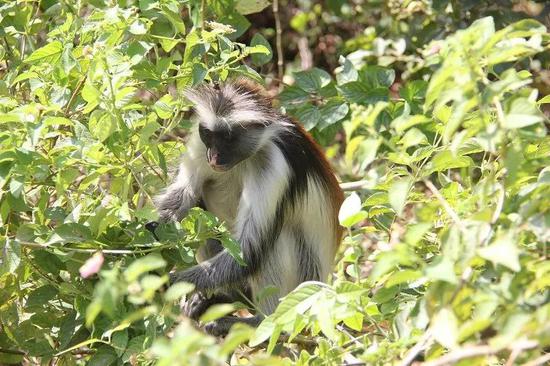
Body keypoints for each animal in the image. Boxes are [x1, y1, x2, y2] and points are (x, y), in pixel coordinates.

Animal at [155, 78, 342, 336]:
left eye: (228, 137)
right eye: (208, 134)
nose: (214, 156)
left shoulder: (273, 161)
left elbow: (247, 251)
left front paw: (166, 282)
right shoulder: (198, 144)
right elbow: (183, 196)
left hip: (304, 283)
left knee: (272, 243)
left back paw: (261, 323)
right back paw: (224, 296)